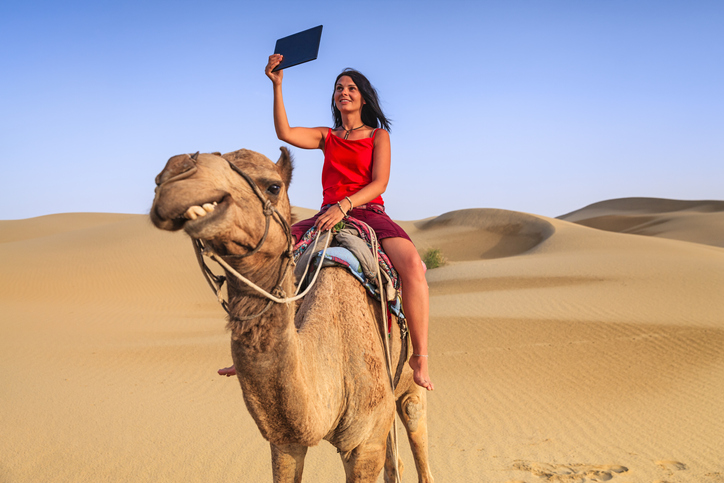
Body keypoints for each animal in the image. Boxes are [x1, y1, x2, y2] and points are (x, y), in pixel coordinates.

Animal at [150, 148, 432, 483]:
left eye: (273, 186)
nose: (177, 172)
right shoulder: (285, 440)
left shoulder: (365, 444)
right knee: (395, 462)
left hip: (409, 385)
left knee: (414, 418)